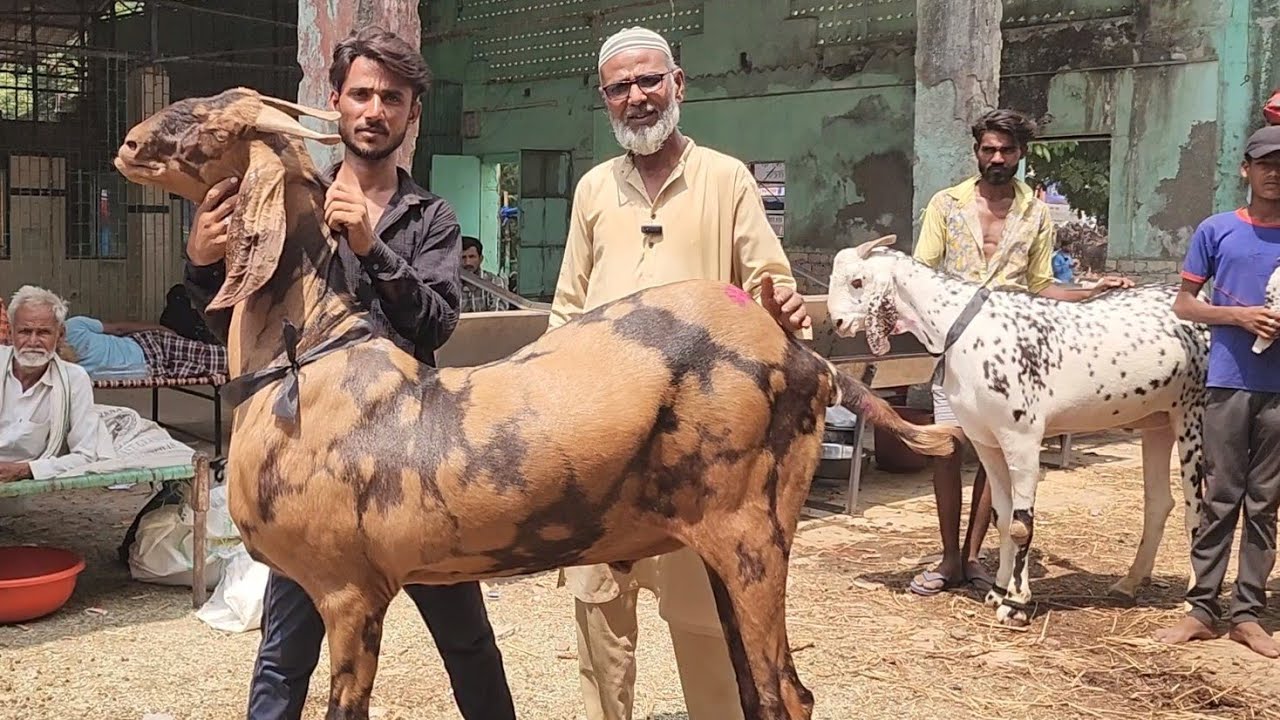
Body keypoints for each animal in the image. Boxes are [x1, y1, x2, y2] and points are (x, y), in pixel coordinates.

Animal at [113, 88, 960, 720]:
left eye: (203, 117)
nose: (127, 141)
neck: (309, 357)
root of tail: (807, 359)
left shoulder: (349, 591)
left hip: (754, 531)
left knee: (789, 694)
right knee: (763, 691)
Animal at [826, 236, 1209, 627]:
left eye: (857, 281)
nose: (838, 321)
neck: (966, 329)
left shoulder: (1022, 440)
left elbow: (1021, 524)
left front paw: (1016, 603)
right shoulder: (986, 440)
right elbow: (1002, 516)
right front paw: (997, 590)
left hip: (1193, 419)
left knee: (1198, 511)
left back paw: (1194, 599)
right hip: (1158, 423)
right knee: (1159, 503)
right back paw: (1128, 584)